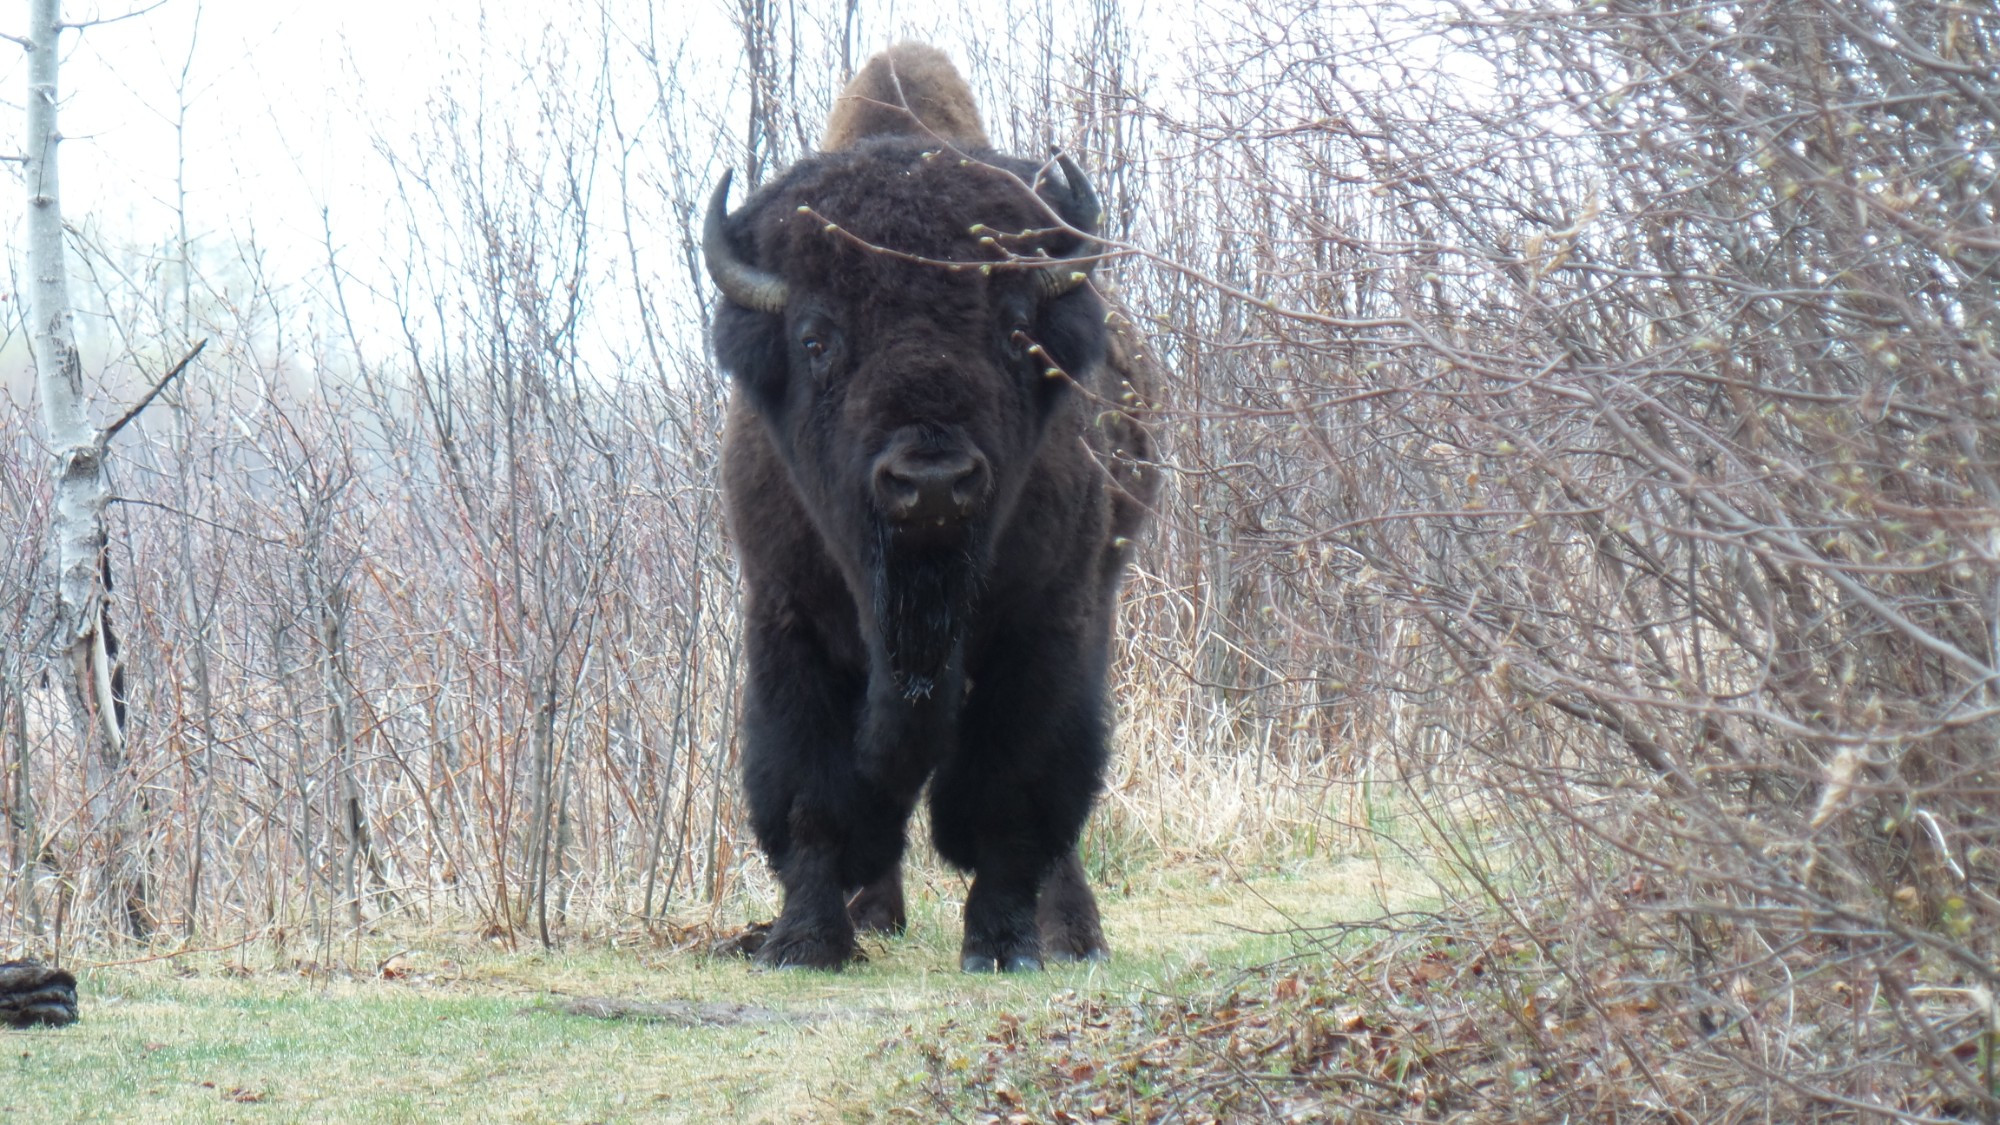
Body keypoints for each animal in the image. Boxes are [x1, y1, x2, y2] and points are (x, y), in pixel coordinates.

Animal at [712, 43, 1168, 968]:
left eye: (1016, 328)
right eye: (816, 338)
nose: (929, 481)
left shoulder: (1047, 622)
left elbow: (1014, 789)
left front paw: (1002, 943)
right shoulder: (786, 617)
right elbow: (810, 790)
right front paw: (805, 942)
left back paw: (1073, 934)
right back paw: (875, 913)